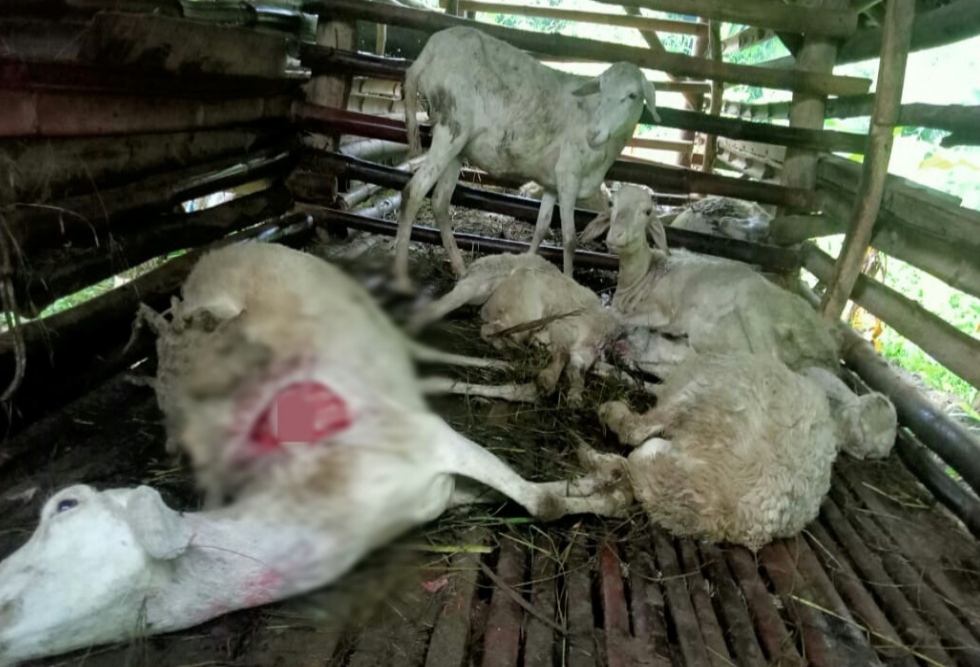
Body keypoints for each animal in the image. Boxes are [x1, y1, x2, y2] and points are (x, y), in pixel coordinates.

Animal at [0, 243, 628, 664]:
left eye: (65, 504)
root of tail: (228, 249)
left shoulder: (431, 437)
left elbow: (537, 501)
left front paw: (612, 489)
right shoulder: (442, 490)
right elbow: (531, 498)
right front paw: (598, 483)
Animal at [394, 26, 664, 292]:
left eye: (632, 95)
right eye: (602, 89)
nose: (593, 134)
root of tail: (427, 54)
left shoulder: (552, 183)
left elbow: (541, 228)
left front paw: (526, 268)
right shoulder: (569, 174)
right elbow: (569, 239)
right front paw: (568, 282)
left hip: (458, 146)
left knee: (440, 202)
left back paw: (461, 269)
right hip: (451, 128)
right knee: (413, 192)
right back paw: (403, 277)